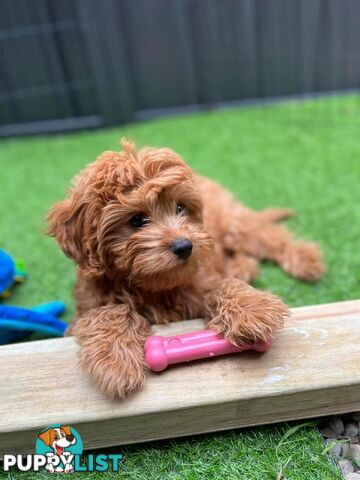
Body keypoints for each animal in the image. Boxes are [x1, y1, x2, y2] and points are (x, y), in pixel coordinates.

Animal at [46, 141, 324, 400]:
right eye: (136, 220)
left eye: (180, 208)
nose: (184, 246)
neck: (154, 286)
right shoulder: (87, 307)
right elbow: (106, 313)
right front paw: (115, 361)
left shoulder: (201, 278)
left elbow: (222, 285)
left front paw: (253, 310)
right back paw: (244, 266)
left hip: (233, 223)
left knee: (268, 235)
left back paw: (305, 259)